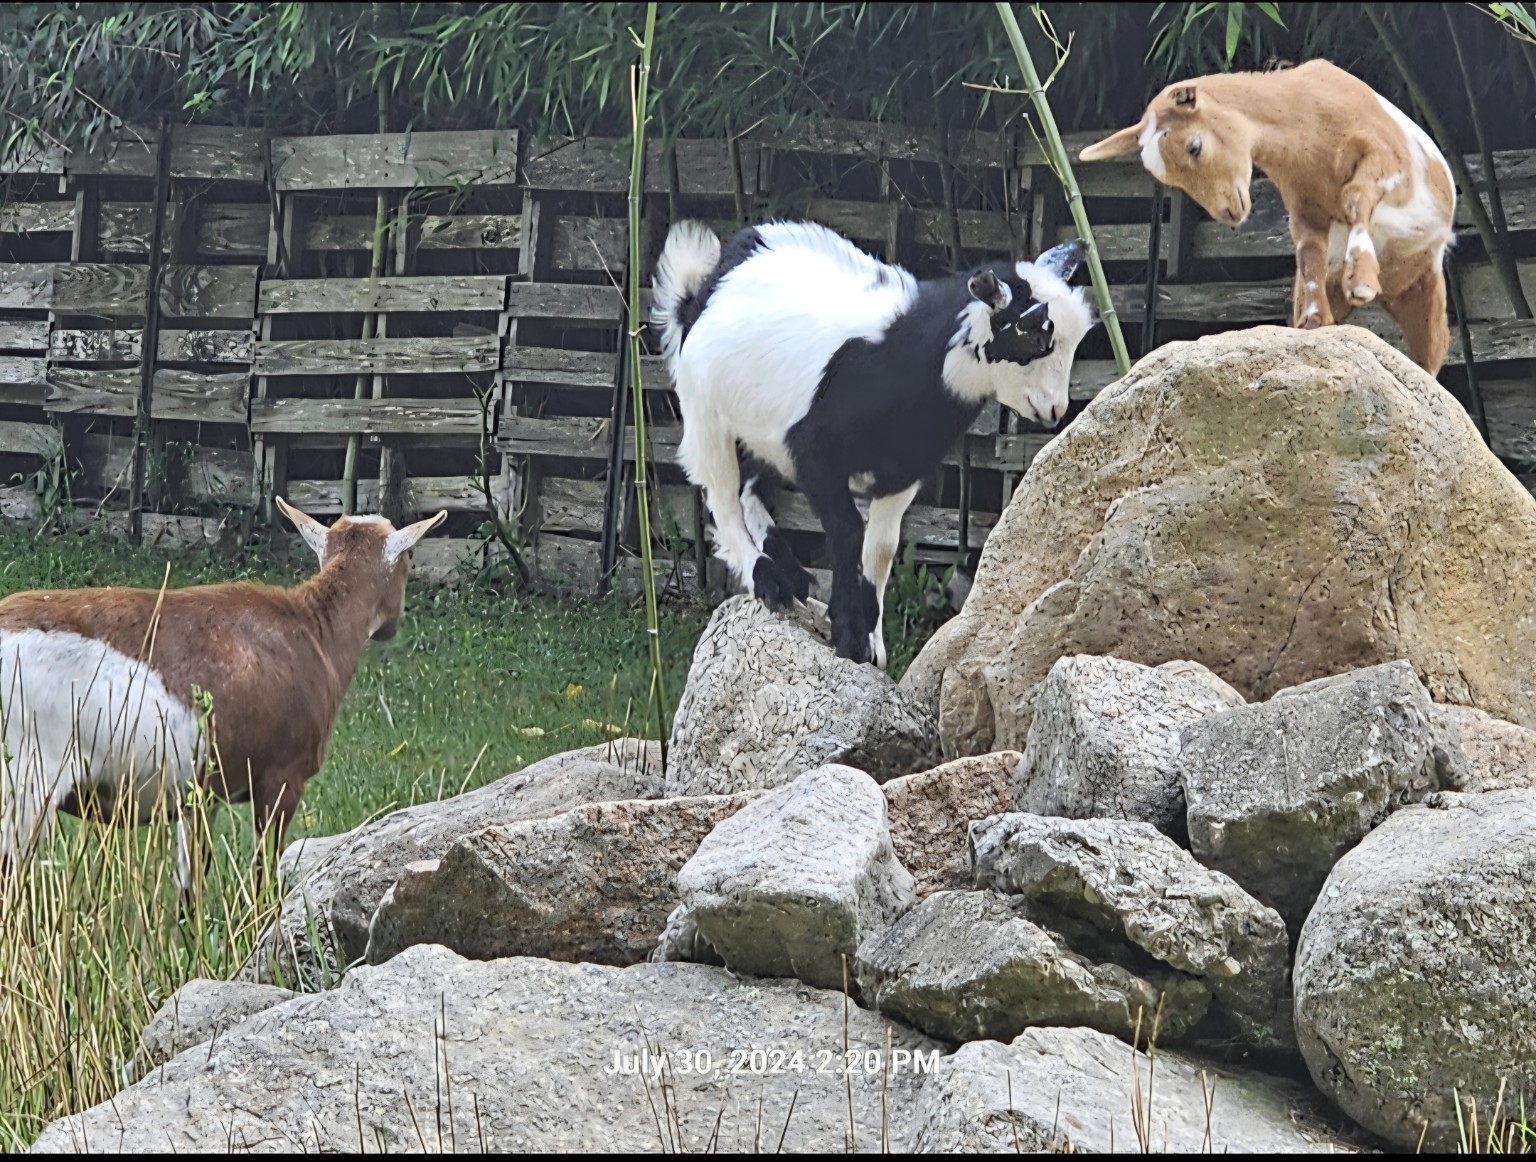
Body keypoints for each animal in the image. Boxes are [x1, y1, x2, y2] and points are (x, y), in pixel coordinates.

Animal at [0, 499, 446, 890]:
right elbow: (263, 876)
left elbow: (191, 881)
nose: (394, 623)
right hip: (24, 785)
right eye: (410, 557)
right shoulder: (281, 778)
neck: (313, 628)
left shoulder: (200, 795)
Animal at [652, 219, 1095, 667]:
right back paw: (767, 579)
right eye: (1033, 338)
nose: (1056, 408)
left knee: (750, 490)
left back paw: (789, 573)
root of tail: (701, 289)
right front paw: (849, 637)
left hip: (762, 432)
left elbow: (882, 549)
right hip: (706, 414)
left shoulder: (903, 471)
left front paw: (873, 643)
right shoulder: (816, 455)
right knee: (723, 498)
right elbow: (848, 531)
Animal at [1079, 59, 1456, 374]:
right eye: (1168, 178)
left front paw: (1361, 280)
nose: (1227, 212)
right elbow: (1308, 251)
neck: (1307, 119)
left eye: (1194, 147)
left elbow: (1354, 198)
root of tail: (1394, 288)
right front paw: (1313, 320)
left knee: (1431, 362)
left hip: (1427, 291)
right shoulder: (1304, 203)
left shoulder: (1389, 157)